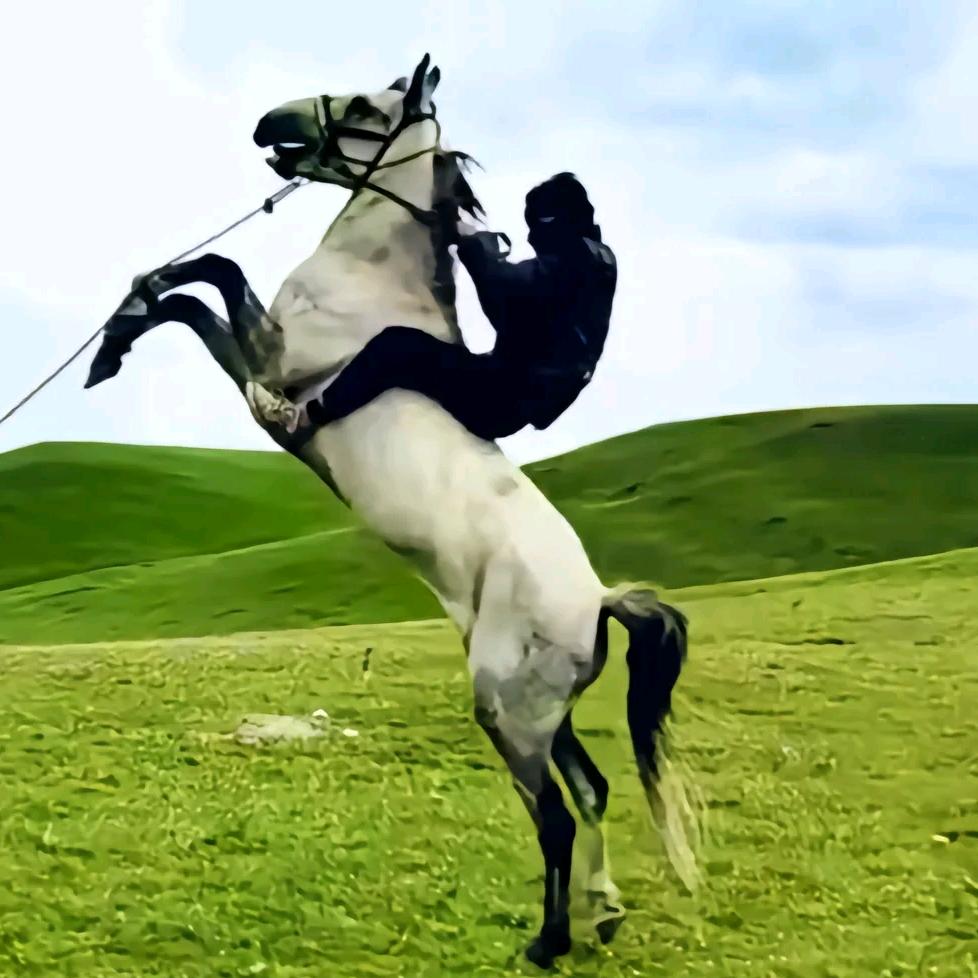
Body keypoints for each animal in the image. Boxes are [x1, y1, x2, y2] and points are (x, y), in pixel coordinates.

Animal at [85, 55, 699, 969]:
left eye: (371, 106)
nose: (272, 125)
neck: (372, 284)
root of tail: (597, 603)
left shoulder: (269, 368)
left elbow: (216, 280)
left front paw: (124, 326)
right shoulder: (250, 361)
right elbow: (198, 297)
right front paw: (121, 330)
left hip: (508, 716)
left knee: (554, 815)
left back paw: (550, 940)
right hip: (547, 717)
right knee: (591, 790)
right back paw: (604, 913)